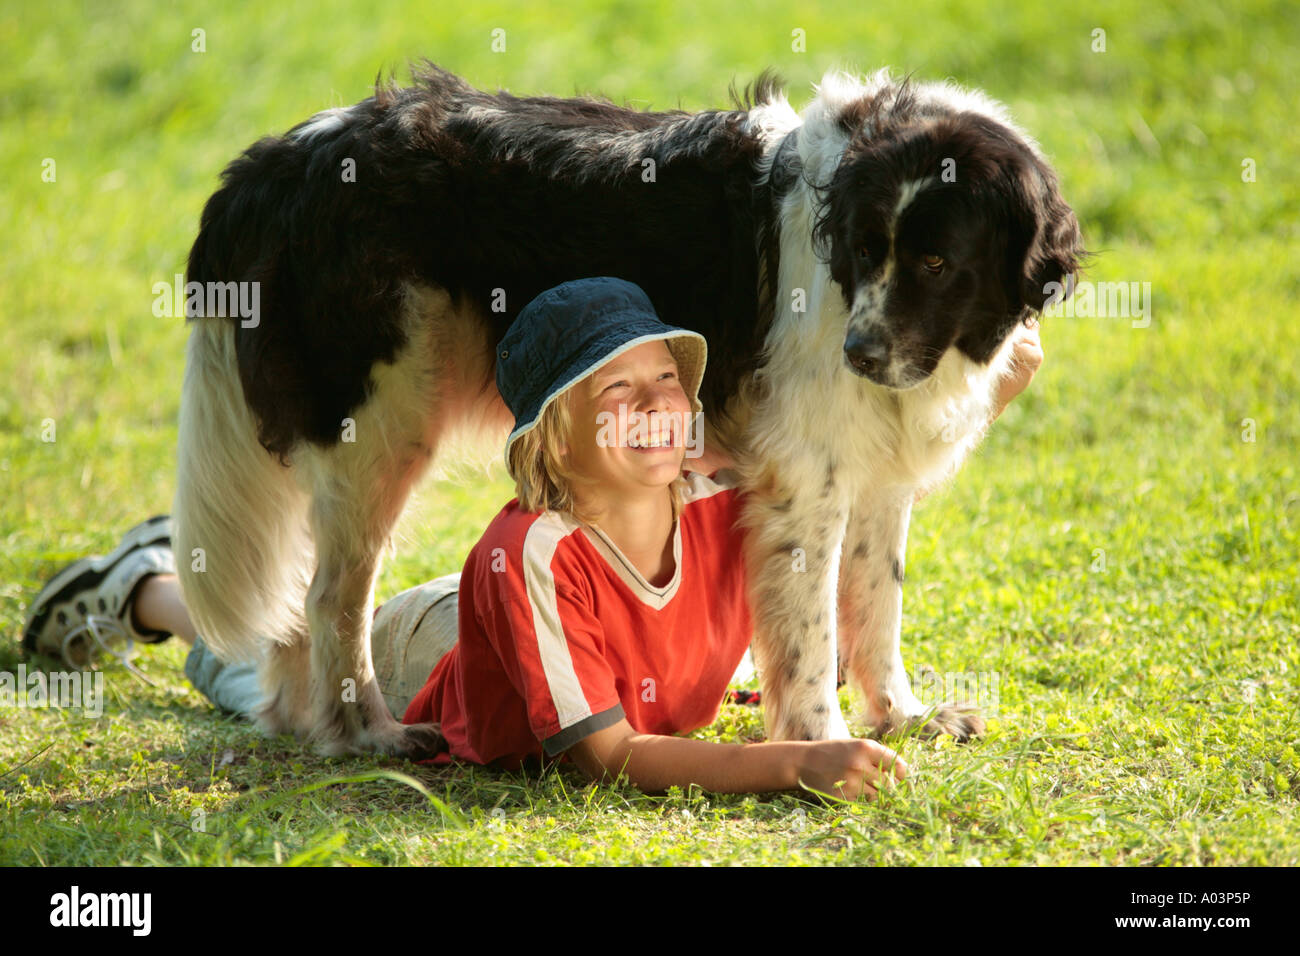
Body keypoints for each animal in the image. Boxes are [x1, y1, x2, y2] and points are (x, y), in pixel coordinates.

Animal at [175, 63, 1086, 759]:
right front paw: (824, 746)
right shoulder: (803, 482)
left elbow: (874, 606)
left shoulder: (875, 471)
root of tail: (281, 158)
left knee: (300, 604)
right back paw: (368, 734)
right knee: (333, 597)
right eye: (866, 251)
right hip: (381, 426)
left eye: (935, 262)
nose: (858, 355)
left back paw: (307, 728)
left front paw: (902, 717)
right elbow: (810, 630)